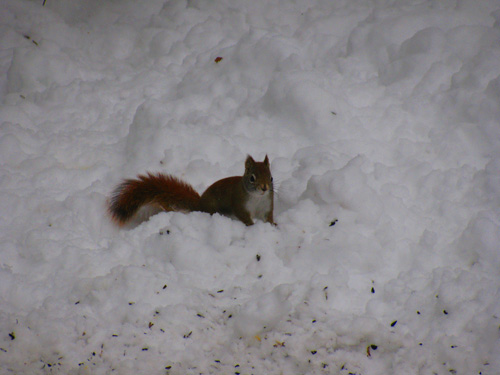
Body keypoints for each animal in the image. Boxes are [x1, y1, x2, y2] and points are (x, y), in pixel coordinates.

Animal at [107, 155, 276, 226]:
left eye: (271, 177)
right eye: (252, 178)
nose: (264, 188)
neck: (258, 198)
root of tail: (200, 204)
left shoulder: (267, 205)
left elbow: (268, 217)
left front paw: (273, 225)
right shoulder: (239, 204)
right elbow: (244, 216)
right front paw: (252, 226)